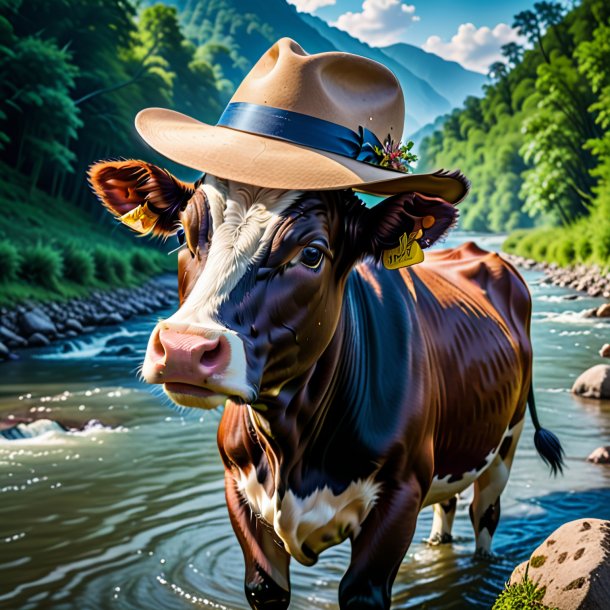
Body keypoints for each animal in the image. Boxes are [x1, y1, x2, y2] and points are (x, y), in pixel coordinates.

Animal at [88, 160, 564, 608]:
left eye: (312, 253)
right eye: (185, 235)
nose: (185, 349)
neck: (292, 447)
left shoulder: (400, 494)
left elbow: (361, 590)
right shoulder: (239, 492)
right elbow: (265, 587)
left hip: (505, 442)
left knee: (485, 516)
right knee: (447, 503)